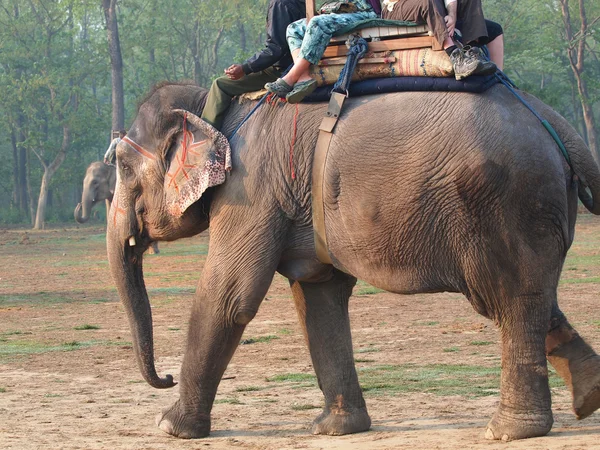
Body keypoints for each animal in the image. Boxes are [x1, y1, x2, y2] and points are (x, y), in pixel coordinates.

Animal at [105, 80, 600, 440]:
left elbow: (229, 296)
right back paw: (589, 398)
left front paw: (169, 427)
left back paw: (509, 432)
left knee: (509, 301)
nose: (166, 376)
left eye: (124, 168)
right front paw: (335, 429)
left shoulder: (251, 187)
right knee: (534, 300)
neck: (212, 110)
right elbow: (318, 296)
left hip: (507, 203)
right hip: (529, 211)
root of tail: (558, 127)